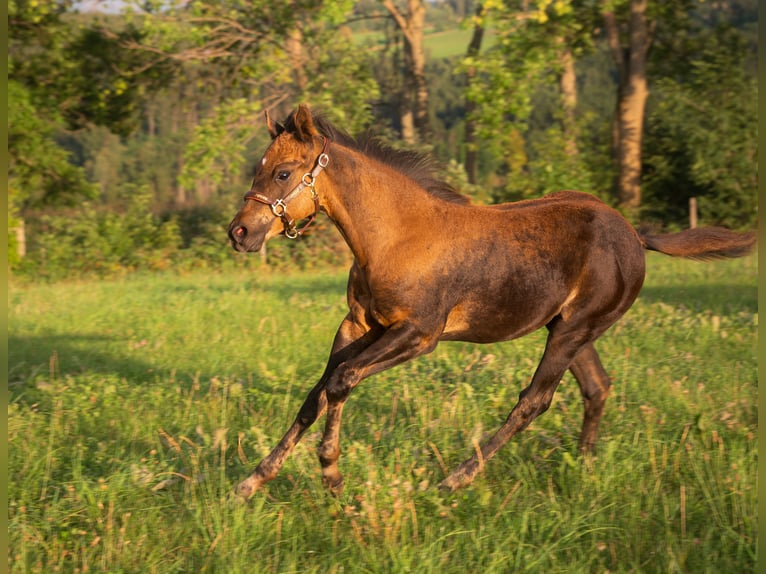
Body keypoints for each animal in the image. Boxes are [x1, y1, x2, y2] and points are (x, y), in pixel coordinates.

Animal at [227, 104, 756, 500]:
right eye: (259, 169)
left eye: (282, 172)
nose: (239, 232)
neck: (396, 236)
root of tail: (634, 235)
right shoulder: (357, 325)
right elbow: (317, 392)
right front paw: (254, 480)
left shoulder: (420, 335)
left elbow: (342, 380)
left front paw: (332, 475)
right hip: (569, 328)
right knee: (597, 387)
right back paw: (584, 469)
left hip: (573, 330)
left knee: (535, 400)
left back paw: (454, 480)